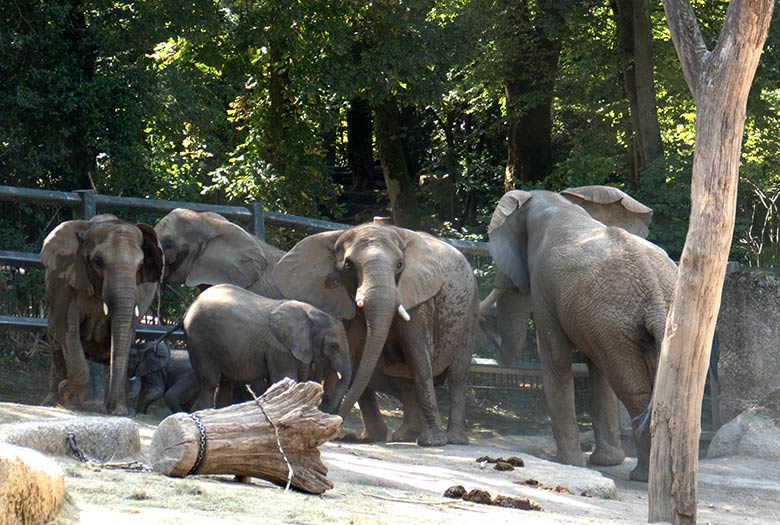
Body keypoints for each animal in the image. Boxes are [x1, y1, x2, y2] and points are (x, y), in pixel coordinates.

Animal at [40, 213, 163, 414]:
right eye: (98, 261)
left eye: (140, 266)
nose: (109, 409)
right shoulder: (64, 281)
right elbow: (68, 328)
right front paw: (68, 398)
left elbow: (124, 336)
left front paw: (118, 411)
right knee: (57, 345)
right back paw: (52, 402)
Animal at [181, 284, 352, 412]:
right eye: (333, 346)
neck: (310, 312)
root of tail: (191, 304)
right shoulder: (278, 347)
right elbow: (287, 378)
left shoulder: (298, 347)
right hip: (199, 340)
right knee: (210, 381)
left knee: (227, 383)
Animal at [274, 221, 482, 446]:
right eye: (348, 266)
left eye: (400, 265)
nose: (335, 421)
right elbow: (354, 353)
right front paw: (353, 435)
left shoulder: (421, 298)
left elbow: (418, 356)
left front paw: (433, 442)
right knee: (405, 376)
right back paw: (403, 436)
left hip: (471, 311)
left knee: (457, 374)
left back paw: (454, 439)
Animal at [488, 190, 676, 482]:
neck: (556, 202)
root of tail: (654, 294)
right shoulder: (593, 321)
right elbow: (597, 369)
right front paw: (606, 462)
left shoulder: (544, 285)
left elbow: (555, 357)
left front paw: (568, 464)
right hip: (622, 325)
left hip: (615, 320)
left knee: (632, 389)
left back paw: (642, 476)